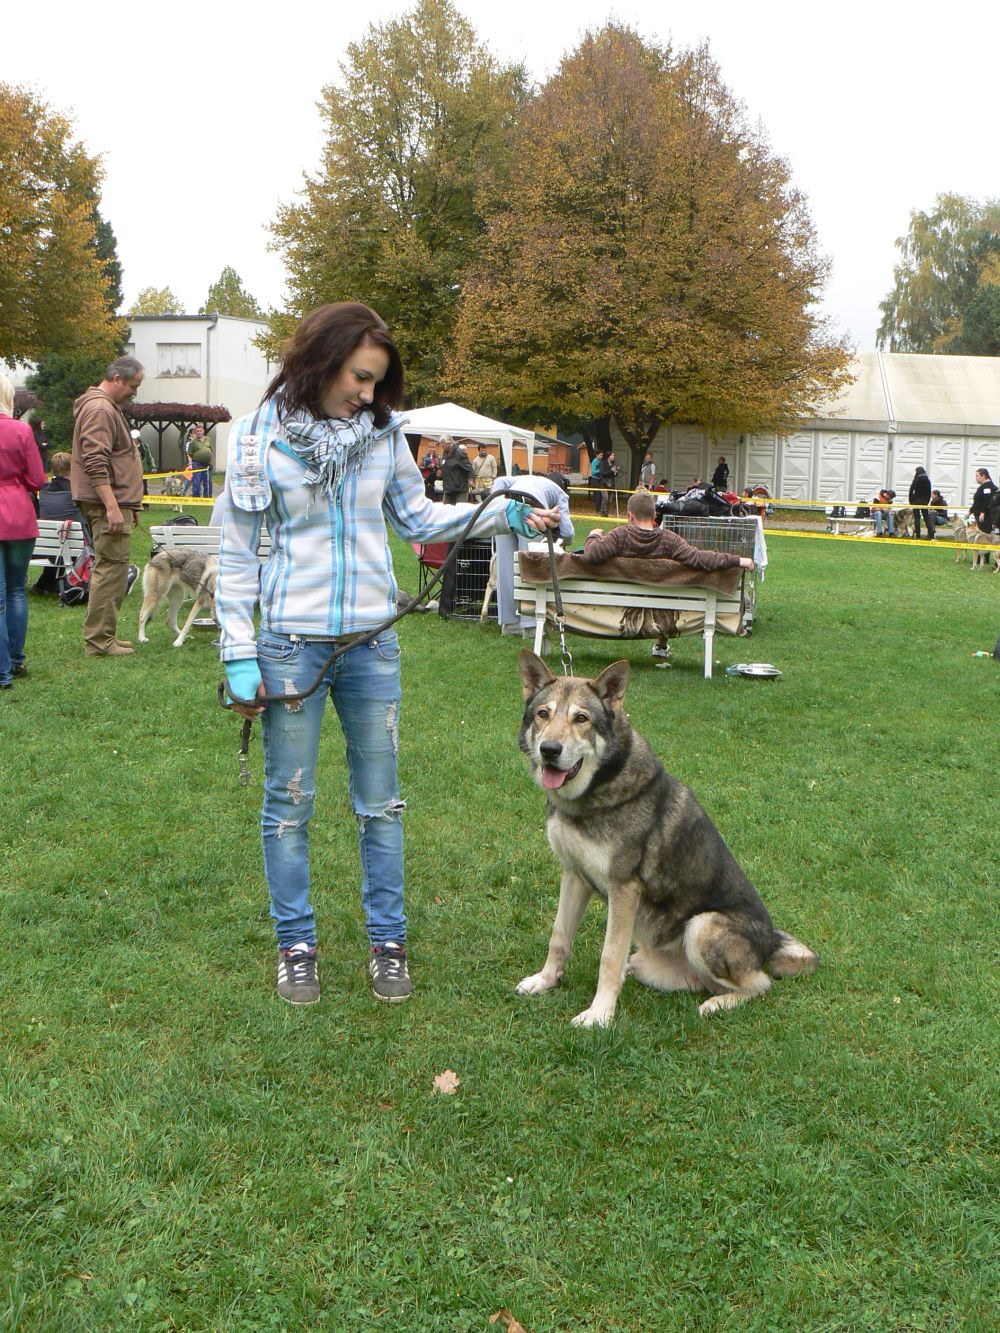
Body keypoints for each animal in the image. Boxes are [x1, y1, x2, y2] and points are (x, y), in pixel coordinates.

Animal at [520, 650, 816, 1023]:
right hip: (653, 961)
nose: (549, 750)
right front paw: (545, 981)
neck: (591, 795)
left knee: (760, 984)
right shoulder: (574, 875)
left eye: (581, 718)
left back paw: (716, 1004)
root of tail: (770, 943)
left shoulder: (624, 889)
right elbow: (559, 937)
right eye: (543, 714)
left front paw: (599, 1015)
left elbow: (608, 956)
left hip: (702, 926)